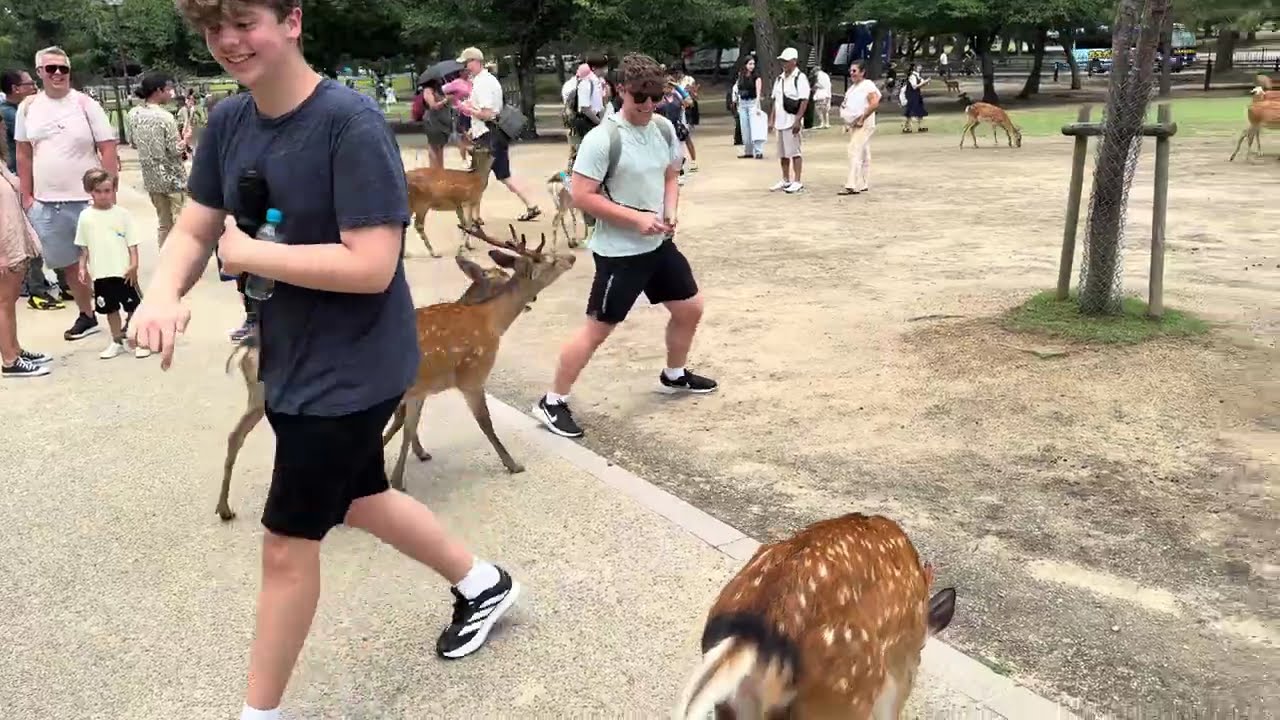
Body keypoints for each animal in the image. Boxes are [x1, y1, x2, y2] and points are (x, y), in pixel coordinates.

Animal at [215, 256, 520, 522]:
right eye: (500, 277)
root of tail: (248, 348)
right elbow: (401, 423)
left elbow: (406, 422)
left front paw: (420, 453)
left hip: (258, 397)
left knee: (235, 436)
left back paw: (225, 508)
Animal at [384, 223, 577, 491]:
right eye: (548, 260)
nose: (572, 257)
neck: (491, 321)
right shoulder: (473, 374)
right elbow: (485, 422)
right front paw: (513, 464)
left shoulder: (420, 390)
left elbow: (409, 427)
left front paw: (400, 478)